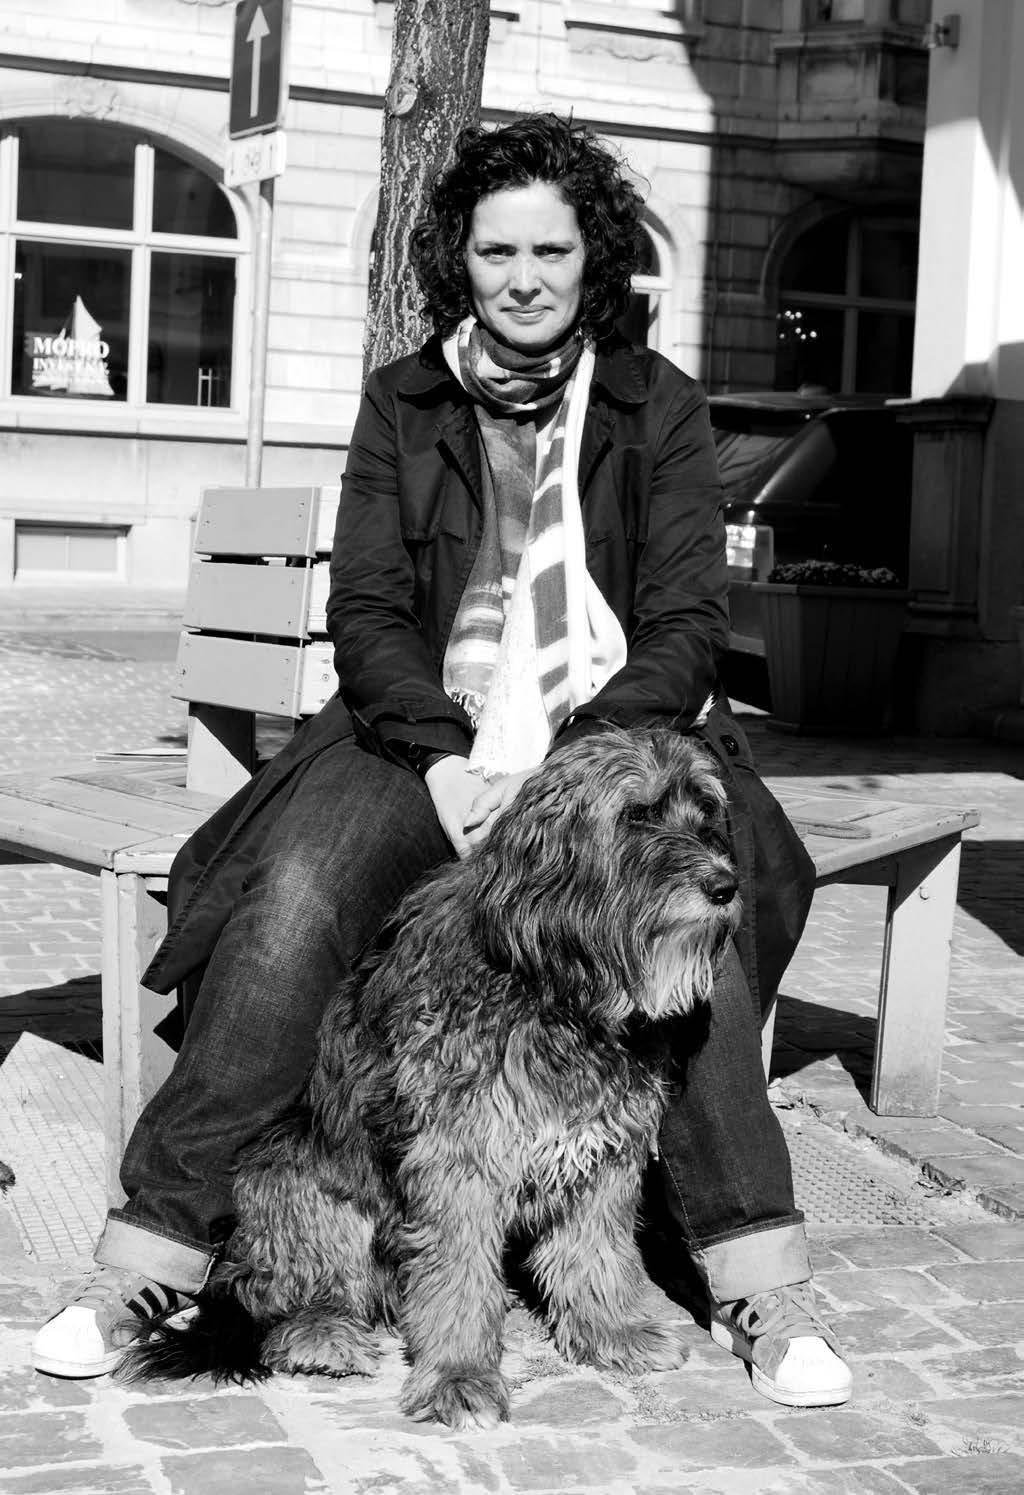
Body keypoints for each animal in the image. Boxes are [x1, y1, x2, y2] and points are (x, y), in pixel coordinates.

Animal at [125, 727, 741, 1428]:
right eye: (638, 815)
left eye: (706, 814)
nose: (726, 887)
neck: (553, 986)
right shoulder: (460, 1160)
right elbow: (460, 1277)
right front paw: (460, 1376)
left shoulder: (604, 1150)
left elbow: (597, 1253)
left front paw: (612, 1335)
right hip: (302, 1185)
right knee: (281, 1299)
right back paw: (324, 1337)